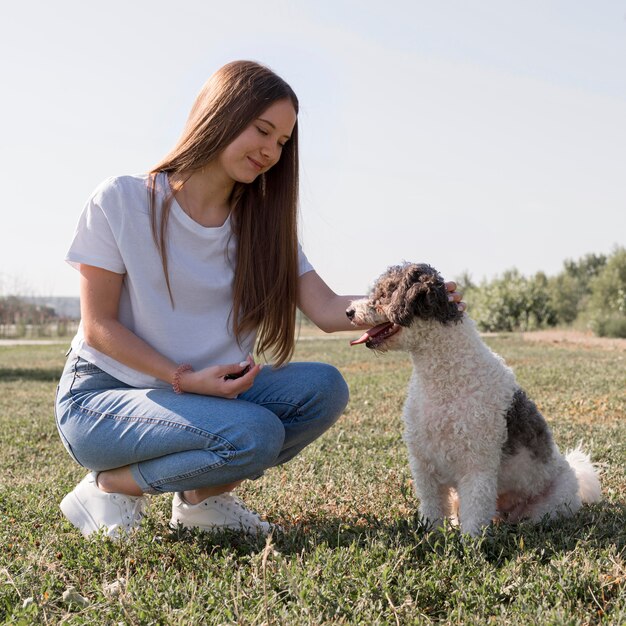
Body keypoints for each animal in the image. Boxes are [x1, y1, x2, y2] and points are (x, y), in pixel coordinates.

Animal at [346, 260, 600, 532]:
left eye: (384, 293)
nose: (349, 311)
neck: (446, 379)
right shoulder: (424, 463)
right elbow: (432, 507)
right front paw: (430, 534)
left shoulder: (477, 466)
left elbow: (474, 514)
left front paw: (469, 542)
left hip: (550, 502)